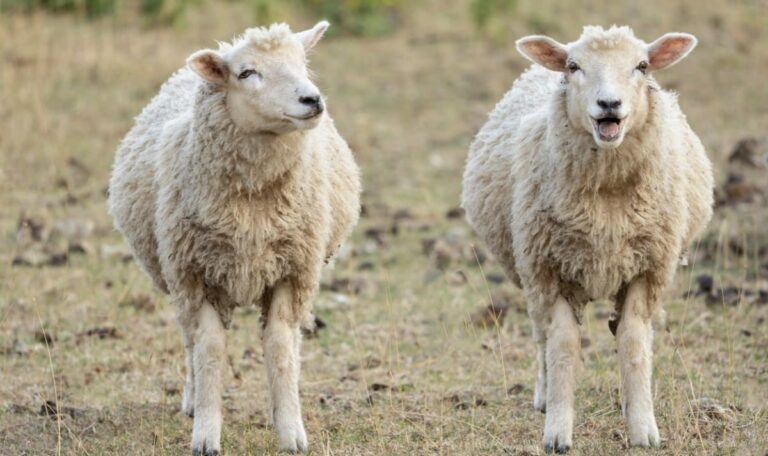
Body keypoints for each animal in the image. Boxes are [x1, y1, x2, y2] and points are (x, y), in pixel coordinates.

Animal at [107, 21, 361, 455]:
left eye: (302, 62)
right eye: (246, 73)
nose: (312, 100)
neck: (252, 211)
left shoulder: (292, 271)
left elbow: (279, 346)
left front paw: (290, 430)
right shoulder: (196, 274)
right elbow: (209, 349)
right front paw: (206, 434)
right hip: (176, 277)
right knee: (189, 341)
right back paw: (193, 401)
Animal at [461, 25, 713, 453]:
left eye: (642, 65)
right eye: (574, 66)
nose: (609, 104)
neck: (607, 198)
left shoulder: (647, 268)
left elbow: (633, 342)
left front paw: (643, 428)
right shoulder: (550, 269)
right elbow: (562, 345)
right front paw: (557, 432)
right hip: (528, 270)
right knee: (541, 336)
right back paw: (545, 397)